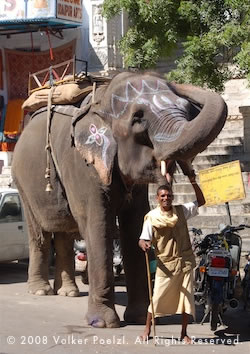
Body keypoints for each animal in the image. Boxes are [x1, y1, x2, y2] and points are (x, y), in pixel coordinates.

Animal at [11, 71, 227, 330]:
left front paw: (140, 317)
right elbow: (98, 225)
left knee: (63, 233)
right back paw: (41, 291)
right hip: (22, 183)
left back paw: (69, 292)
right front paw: (103, 323)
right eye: (138, 118)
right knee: (40, 233)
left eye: (186, 109)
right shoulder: (82, 164)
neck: (102, 100)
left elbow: (135, 224)